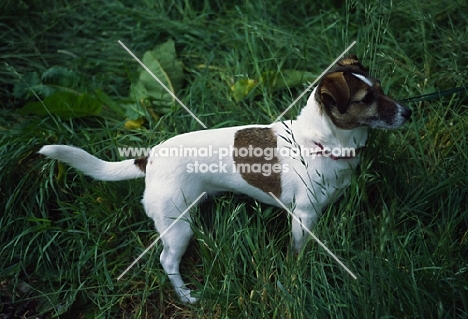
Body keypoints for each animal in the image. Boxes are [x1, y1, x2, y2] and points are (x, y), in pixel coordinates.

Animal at [41, 56, 414, 304]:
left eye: (382, 90)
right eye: (366, 100)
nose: (408, 112)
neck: (319, 141)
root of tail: (150, 159)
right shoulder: (303, 215)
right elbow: (298, 250)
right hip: (177, 226)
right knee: (167, 261)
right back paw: (187, 296)